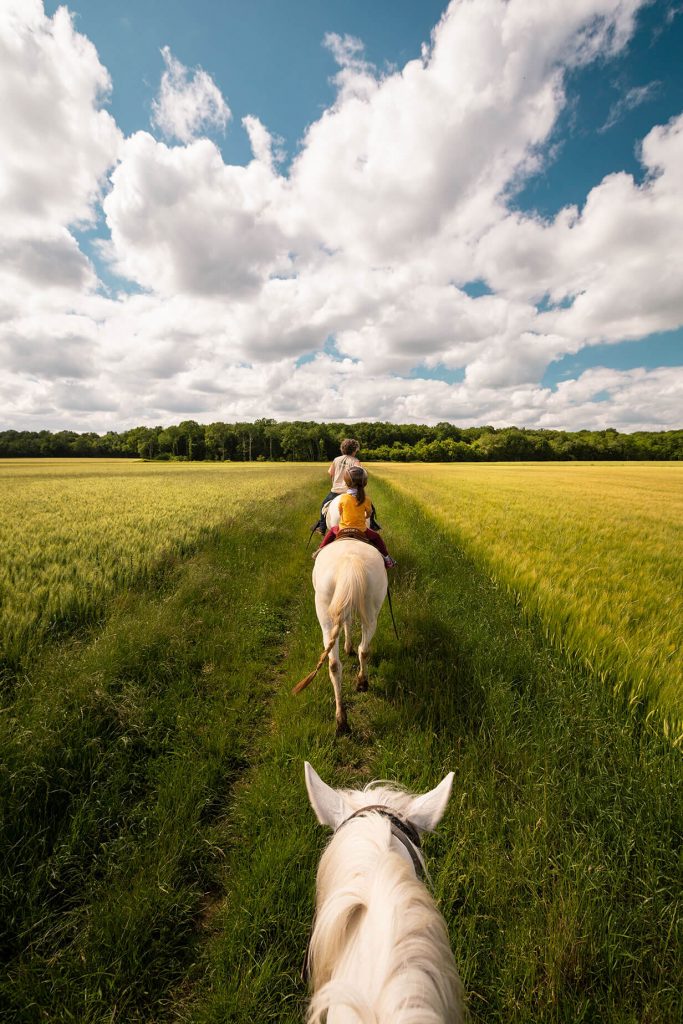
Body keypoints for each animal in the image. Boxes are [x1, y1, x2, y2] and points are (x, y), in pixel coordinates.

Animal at [292, 540, 387, 733]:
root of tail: (349, 564)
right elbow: (348, 622)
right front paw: (348, 647)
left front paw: (347, 647)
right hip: (370, 610)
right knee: (358, 652)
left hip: (326, 612)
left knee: (338, 661)